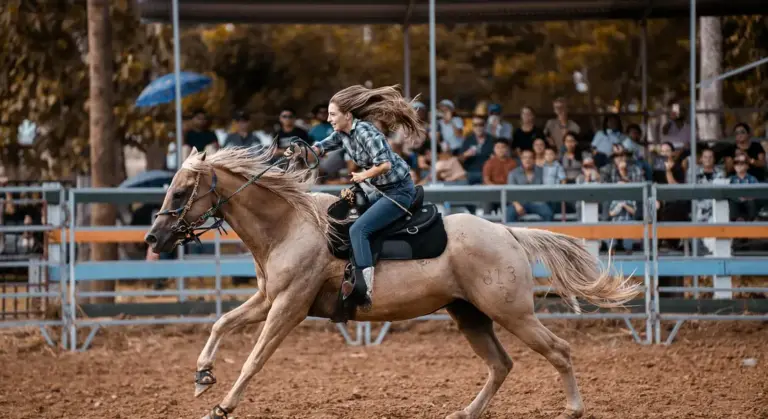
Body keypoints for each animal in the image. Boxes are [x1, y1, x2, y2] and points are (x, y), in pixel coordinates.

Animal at [145, 143, 641, 419]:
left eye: (181, 191)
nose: (154, 237)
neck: (291, 224)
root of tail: (508, 233)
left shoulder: (289, 307)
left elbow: (253, 359)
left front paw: (222, 406)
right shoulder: (268, 298)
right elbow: (221, 323)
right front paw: (202, 376)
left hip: (511, 312)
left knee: (559, 350)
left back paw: (573, 409)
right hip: (469, 315)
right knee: (501, 365)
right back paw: (466, 412)